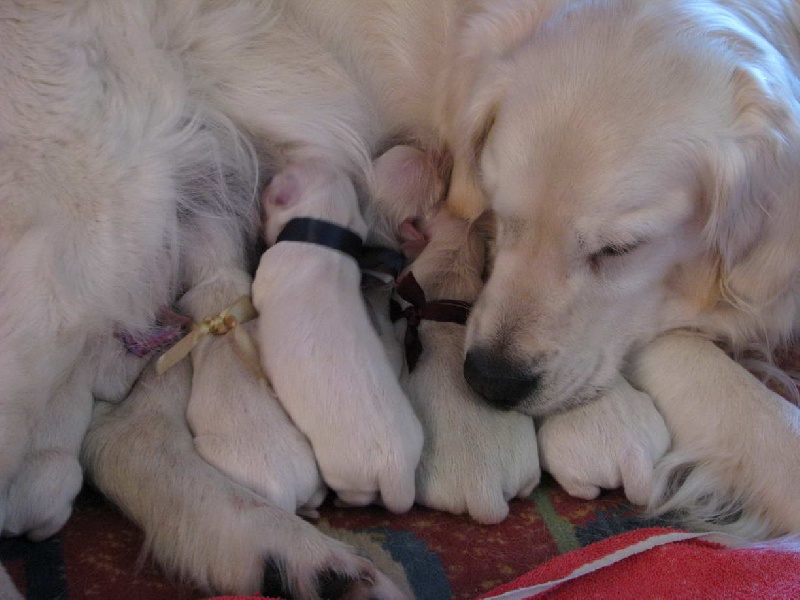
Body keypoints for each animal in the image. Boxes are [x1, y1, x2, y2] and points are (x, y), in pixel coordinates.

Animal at [253, 156, 424, 510]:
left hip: (342, 472)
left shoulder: (266, 273)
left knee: (355, 494)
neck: (324, 241)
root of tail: (397, 472)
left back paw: (343, 503)